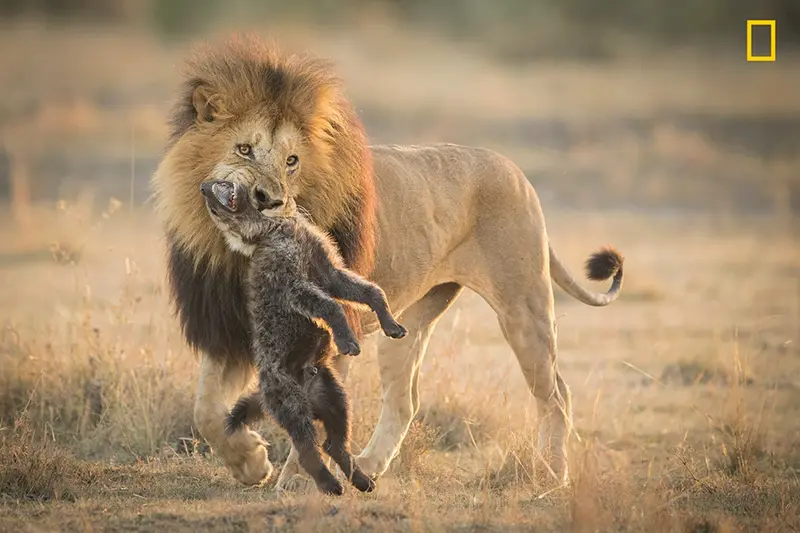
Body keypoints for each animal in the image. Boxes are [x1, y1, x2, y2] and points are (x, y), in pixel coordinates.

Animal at [150, 35, 624, 488]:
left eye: (292, 161)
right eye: (244, 149)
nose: (271, 201)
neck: (242, 252)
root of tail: (516, 169)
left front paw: (295, 478)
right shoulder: (227, 326)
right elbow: (205, 411)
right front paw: (251, 465)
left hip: (523, 307)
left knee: (556, 395)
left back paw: (551, 475)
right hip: (411, 320)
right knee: (404, 399)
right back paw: (369, 466)